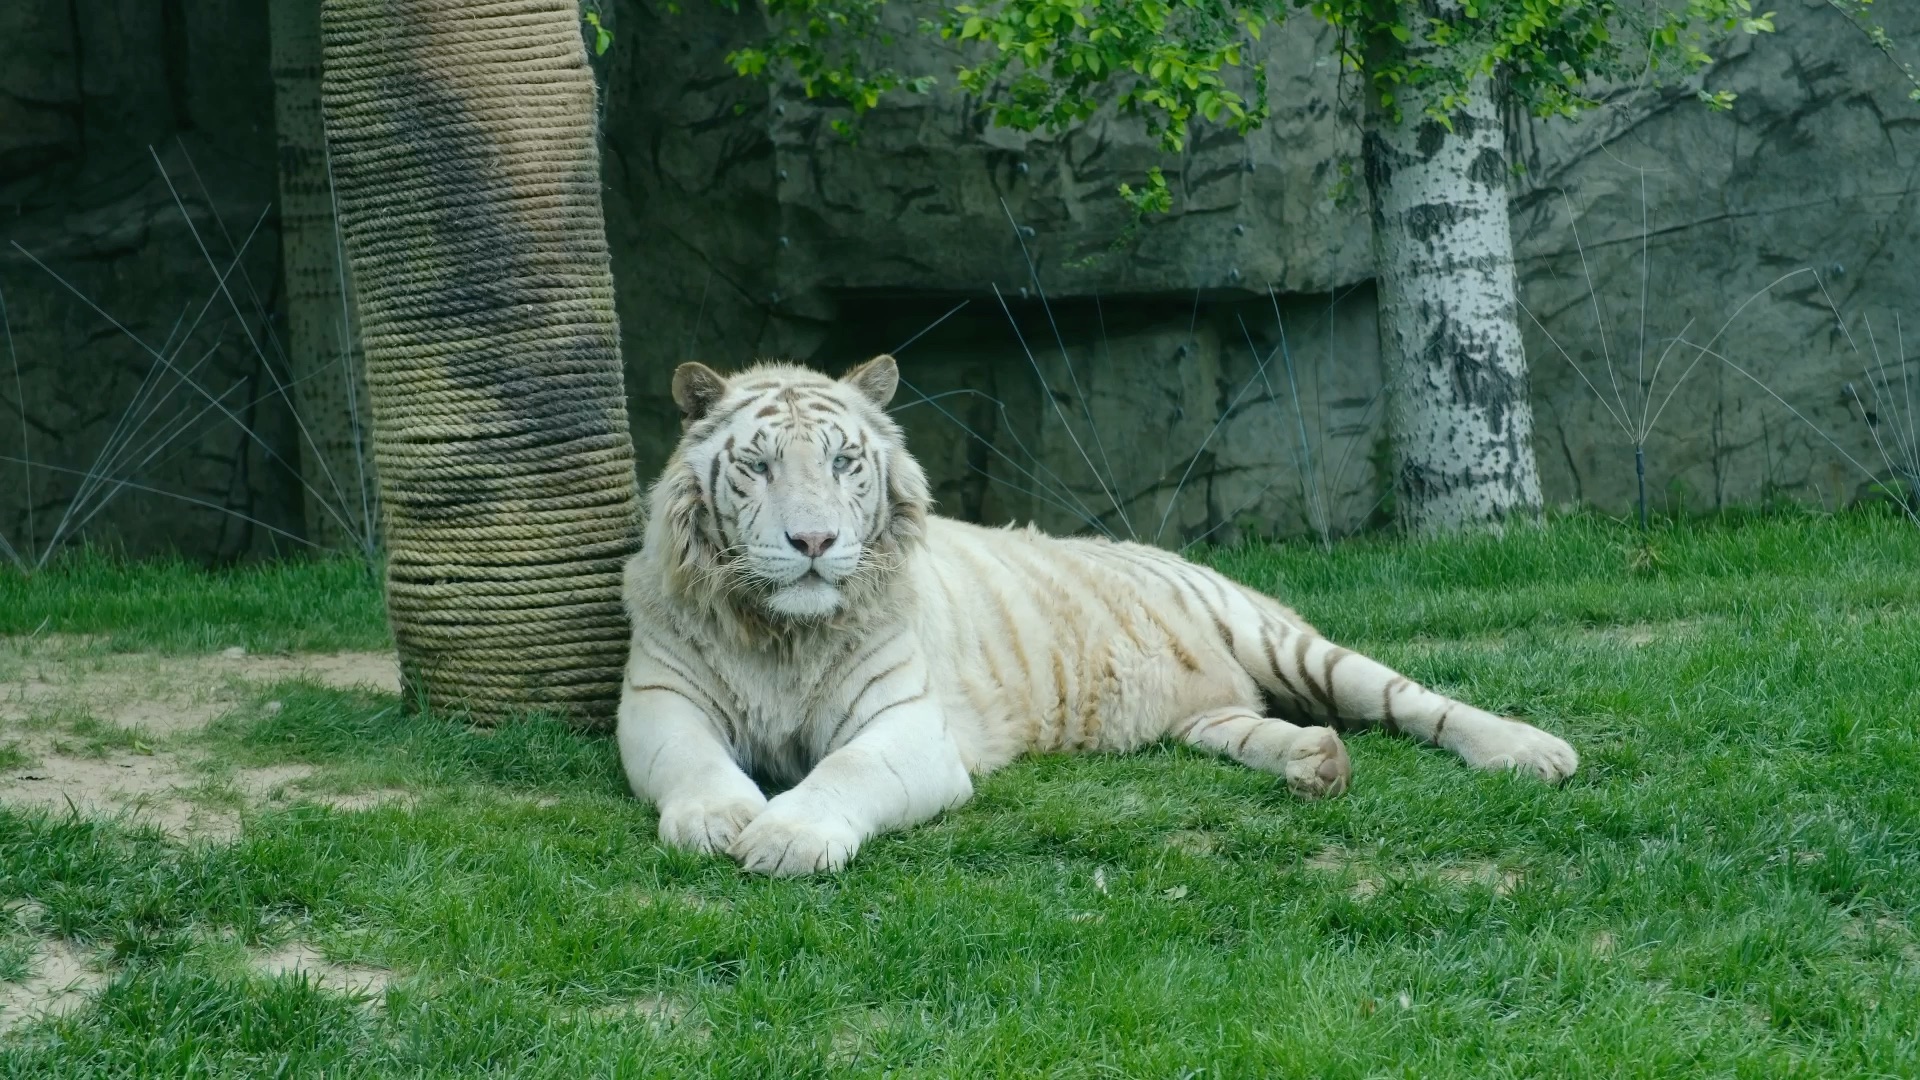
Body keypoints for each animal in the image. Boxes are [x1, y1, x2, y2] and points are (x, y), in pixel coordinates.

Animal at [622, 355, 1582, 876]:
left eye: (843, 462)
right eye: (757, 467)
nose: (815, 540)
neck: (781, 633)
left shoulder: (908, 726)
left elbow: (848, 773)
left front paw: (787, 837)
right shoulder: (660, 702)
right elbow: (693, 764)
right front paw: (717, 820)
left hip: (1285, 644)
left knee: (1417, 701)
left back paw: (1534, 752)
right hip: (1209, 714)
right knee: (1259, 726)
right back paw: (1316, 763)